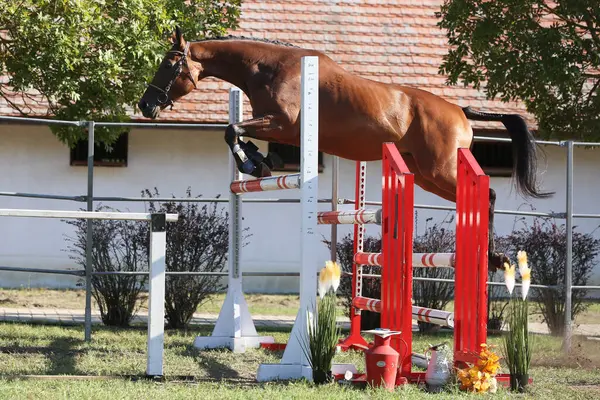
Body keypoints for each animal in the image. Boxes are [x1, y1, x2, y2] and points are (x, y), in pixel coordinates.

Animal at [137, 28, 552, 270]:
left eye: (169, 64)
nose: (146, 105)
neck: (267, 67)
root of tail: (461, 111)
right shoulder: (286, 130)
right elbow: (249, 139)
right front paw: (260, 161)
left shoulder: (283, 122)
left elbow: (231, 129)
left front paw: (252, 163)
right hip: (424, 174)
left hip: (440, 168)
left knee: (489, 194)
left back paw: (492, 256)